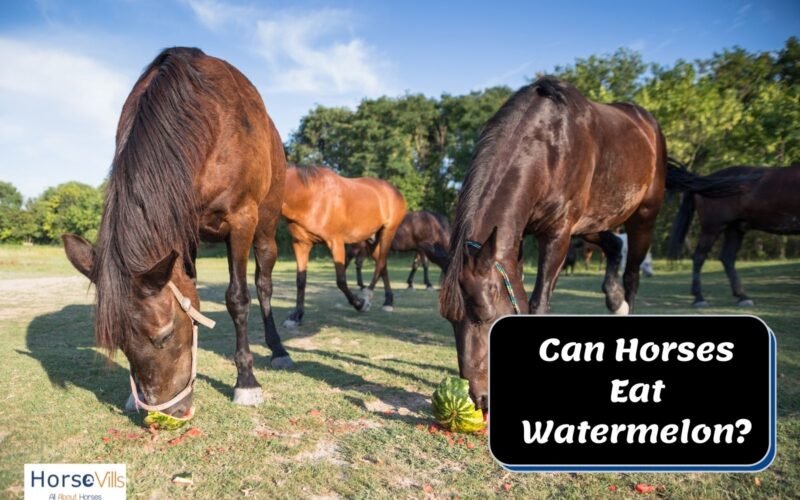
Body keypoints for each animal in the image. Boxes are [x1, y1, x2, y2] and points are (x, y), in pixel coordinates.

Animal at [61, 47, 291, 420]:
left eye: (165, 336)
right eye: (120, 344)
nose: (168, 411)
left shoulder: (241, 219)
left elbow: (238, 299)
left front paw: (246, 381)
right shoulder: (182, 231)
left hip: (266, 229)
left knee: (264, 285)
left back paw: (278, 350)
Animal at [281, 165, 407, 327]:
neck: (311, 196)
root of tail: (394, 191)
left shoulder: (336, 242)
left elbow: (341, 280)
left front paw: (359, 304)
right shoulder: (301, 244)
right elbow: (300, 281)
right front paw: (296, 316)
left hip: (388, 232)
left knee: (380, 264)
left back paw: (367, 298)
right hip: (372, 240)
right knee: (382, 265)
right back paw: (388, 302)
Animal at [436, 77, 672, 411]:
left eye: (486, 317)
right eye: (449, 320)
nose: (480, 398)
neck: (548, 146)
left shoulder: (557, 234)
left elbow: (538, 303)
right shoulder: (520, 238)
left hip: (643, 219)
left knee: (632, 275)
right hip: (591, 224)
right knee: (614, 247)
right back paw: (614, 301)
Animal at [666, 163, 800, 307]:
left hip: (734, 229)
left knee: (727, 258)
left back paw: (743, 297)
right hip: (712, 229)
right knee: (699, 257)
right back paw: (699, 298)